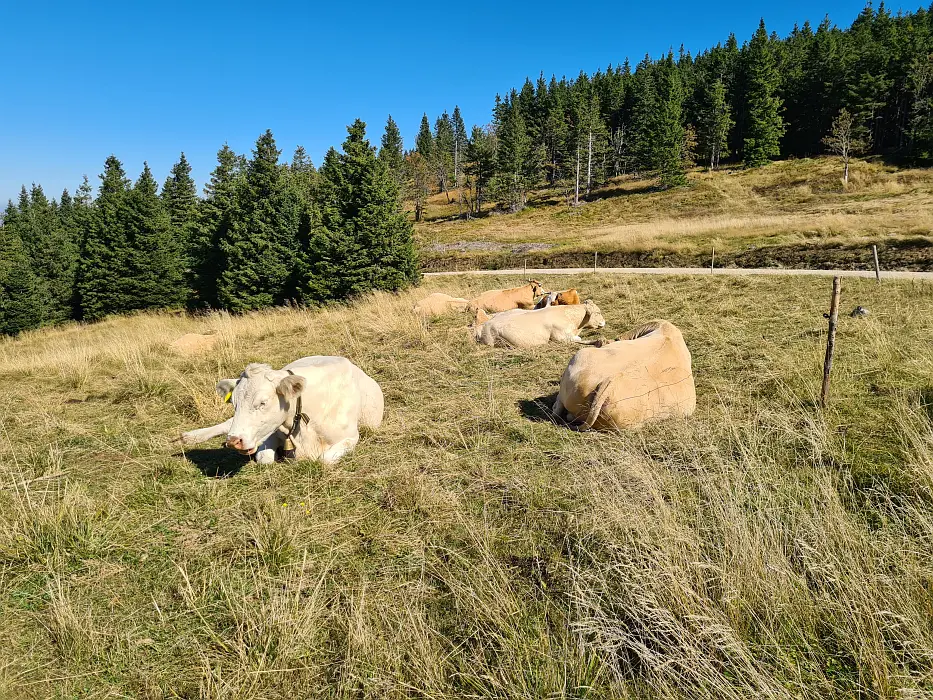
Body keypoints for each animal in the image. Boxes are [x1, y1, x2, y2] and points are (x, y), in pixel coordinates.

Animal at [178, 356, 382, 464]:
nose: (233, 441)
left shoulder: (351, 437)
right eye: (234, 403)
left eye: (262, 403)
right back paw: (190, 437)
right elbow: (264, 458)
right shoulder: (270, 432)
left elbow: (324, 459)